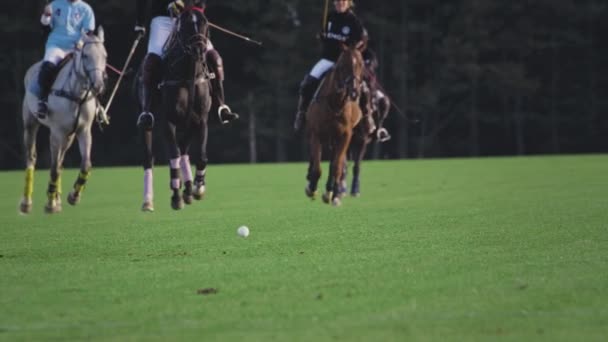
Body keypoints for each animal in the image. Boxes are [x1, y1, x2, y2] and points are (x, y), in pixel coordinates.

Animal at [19, 28, 108, 214]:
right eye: (86, 56)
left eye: (105, 56)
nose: (98, 86)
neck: (76, 95)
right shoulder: (56, 132)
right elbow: (53, 169)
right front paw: (50, 204)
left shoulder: (83, 131)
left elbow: (85, 164)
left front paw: (73, 196)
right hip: (30, 124)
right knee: (31, 158)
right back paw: (26, 203)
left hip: (69, 136)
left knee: (60, 163)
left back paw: (57, 199)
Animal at [306, 45, 364, 206]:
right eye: (342, 65)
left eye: (361, 65)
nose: (354, 91)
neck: (335, 103)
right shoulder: (316, 133)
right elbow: (317, 167)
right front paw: (312, 188)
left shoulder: (345, 135)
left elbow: (337, 166)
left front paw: (333, 194)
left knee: (336, 162)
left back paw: (333, 191)